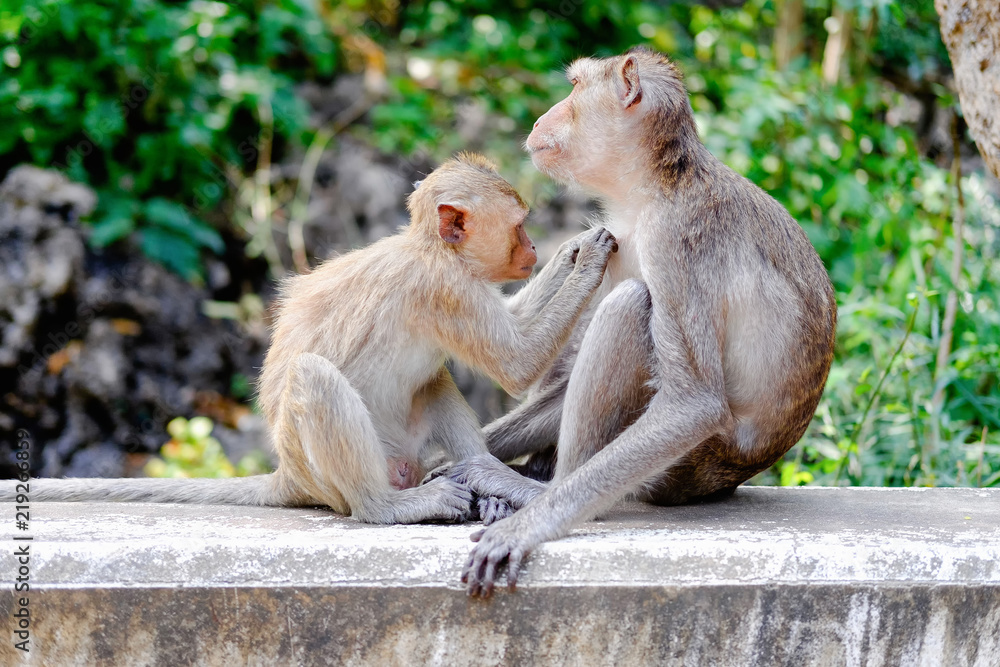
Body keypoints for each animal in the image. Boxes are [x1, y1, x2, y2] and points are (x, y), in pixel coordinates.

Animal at [5, 153, 619, 524]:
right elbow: (516, 364)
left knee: (432, 381)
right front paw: (589, 259)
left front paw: (573, 250)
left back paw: (488, 492)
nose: (533, 248)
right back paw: (387, 507)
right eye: (518, 226)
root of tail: (289, 475)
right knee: (316, 378)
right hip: (336, 473)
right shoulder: (444, 289)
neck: (433, 250)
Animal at [451, 47, 837, 596]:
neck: (654, 184)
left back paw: (535, 490)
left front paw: (526, 525)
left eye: (574, 88)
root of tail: (733, 476)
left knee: (630, 306)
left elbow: (693, 402)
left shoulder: (676, 238)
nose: (541, 118)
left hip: (685, 468)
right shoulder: (622, 239)